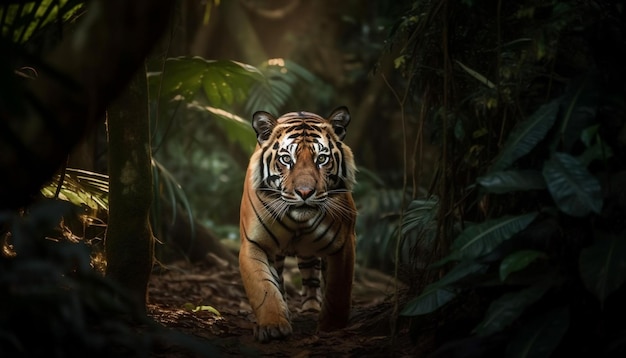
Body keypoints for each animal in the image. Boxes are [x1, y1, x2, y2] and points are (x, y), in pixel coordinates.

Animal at [238, 105, 356, 342]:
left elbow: (338, 291)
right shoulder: (253, 244)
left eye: (322, 158)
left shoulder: (343, 244)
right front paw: (273, 326)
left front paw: (331, 327)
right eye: (286, 159)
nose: (305, 192)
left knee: (312, 276)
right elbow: (264, 288)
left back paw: (311, 308)